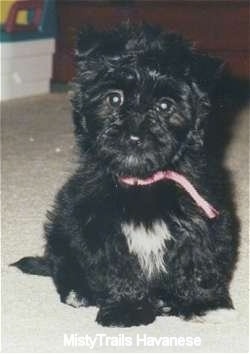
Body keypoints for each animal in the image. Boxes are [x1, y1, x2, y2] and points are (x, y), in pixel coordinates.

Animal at [13, 22, 238, 326]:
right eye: (114, 98)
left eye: (164, 106)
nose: (134, 136)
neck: (142, 181)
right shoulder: (100, 227)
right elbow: (120, 268)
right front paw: (127, 308)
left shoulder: (202, 216)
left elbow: (198, 258)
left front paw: (201, 302)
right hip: (61, 228)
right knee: (62, 264)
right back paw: (78, 292)